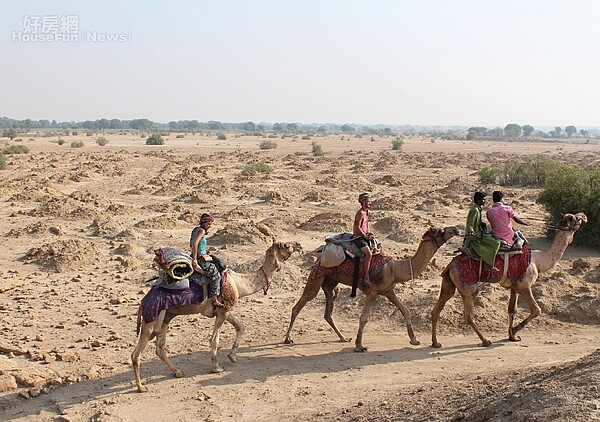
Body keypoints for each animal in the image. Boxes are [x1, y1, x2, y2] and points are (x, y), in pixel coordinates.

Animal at [131, 241, 300, 392]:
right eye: (285, 245)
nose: (298, 245)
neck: (239, 283)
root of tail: (143, 301)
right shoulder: (223, 311)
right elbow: (214, 340)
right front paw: (216, 367)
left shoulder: (224, 310)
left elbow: (240, 326)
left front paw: (232, 356)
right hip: (152, 318)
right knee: (136, 353)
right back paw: (141, 387)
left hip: (166, 316)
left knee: (160, 347)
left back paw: (178, 372)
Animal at [284, 226, 462, 352]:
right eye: (441, 231)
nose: (456, 229)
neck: (395, 268)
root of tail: (319, 258)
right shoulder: (373, 292)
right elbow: (364, 318)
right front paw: (359, 346)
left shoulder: (389, 290)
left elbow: (405, 310)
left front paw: (414, 340)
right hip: (316, 277)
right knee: (298, 305)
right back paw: (287, 339)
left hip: (330, 283)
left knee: (328, 312)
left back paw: (343, 338)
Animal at [432, 213, 584, 348]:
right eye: (573, 218)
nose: (583, 217)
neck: (538, 261)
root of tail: (451, 265)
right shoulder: (525, 285)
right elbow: (537, 310)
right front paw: (515, 331)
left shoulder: (514, 287)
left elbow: (512, 310)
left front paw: (512, 336)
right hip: (467, 285)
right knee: (468, 314)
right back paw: (485, 341)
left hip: (449, 283)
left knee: (437, 309)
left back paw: (436, 343)